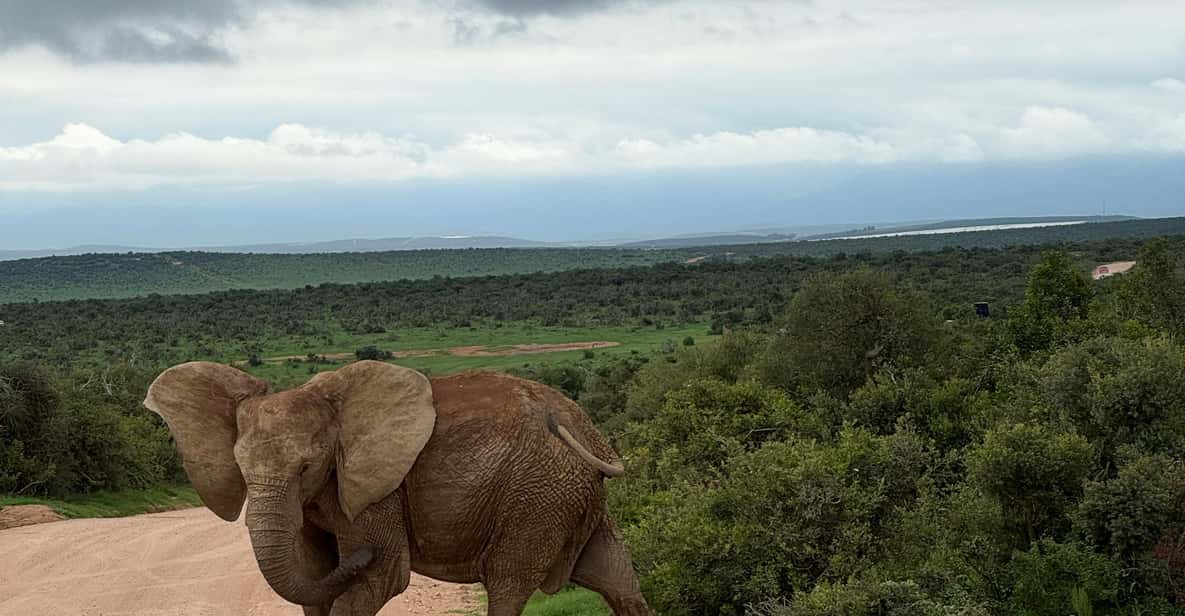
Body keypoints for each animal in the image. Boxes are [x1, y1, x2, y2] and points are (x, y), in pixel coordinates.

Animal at [143, 360, 651, 616]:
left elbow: (380, 578)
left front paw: (367, 565)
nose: (356, 557)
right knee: (618, 582)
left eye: (306, 467)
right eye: (242, 470)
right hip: (571, 498)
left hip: (538, 498)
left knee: (508, 584)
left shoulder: (377, 491)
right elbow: (314, 578)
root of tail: (585, 430)